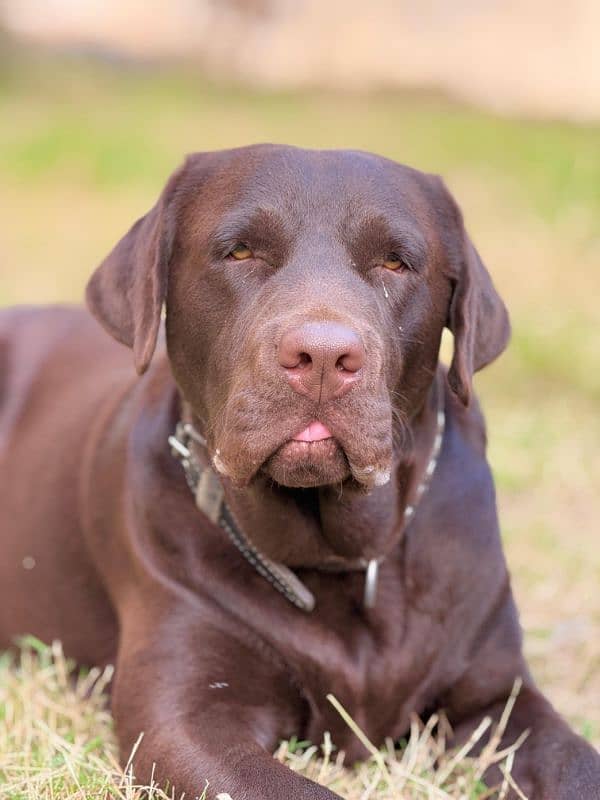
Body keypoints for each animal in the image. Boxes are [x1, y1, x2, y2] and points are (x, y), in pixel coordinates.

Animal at [0, 145, 596, 800]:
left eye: (395, 263)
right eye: (239, 252)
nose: (324, 357)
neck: (338, 553)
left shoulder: (496, 701)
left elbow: (575, 762)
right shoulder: (185, 714)